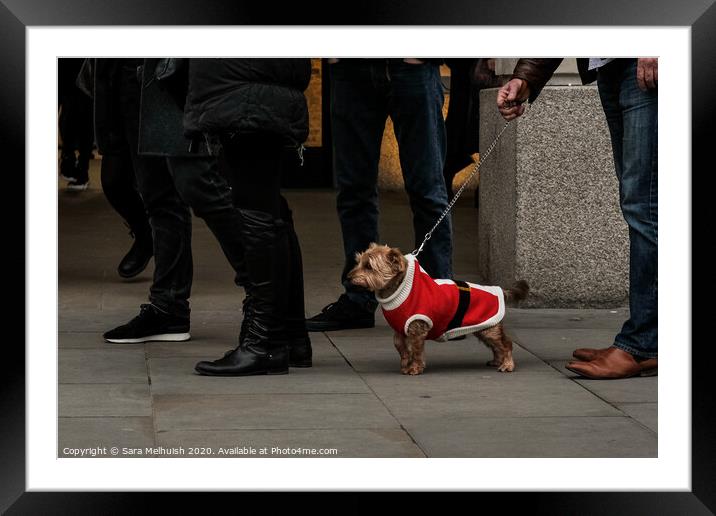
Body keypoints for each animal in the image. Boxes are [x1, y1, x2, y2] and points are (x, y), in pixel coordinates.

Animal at [350, 243, 528, 374]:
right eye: (358, 262)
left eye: (368, 266)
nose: (348, 277)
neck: (398, 288)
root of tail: (498, 289)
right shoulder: (400, 329)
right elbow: (401, 347)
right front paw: (405, 364)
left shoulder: (417, 327)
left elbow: (416, 350)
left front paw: (414, 368)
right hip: (483, 327)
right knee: (496, 346)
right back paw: (497, 361)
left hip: (489, 328)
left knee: (505, 344)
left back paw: (507, 364)